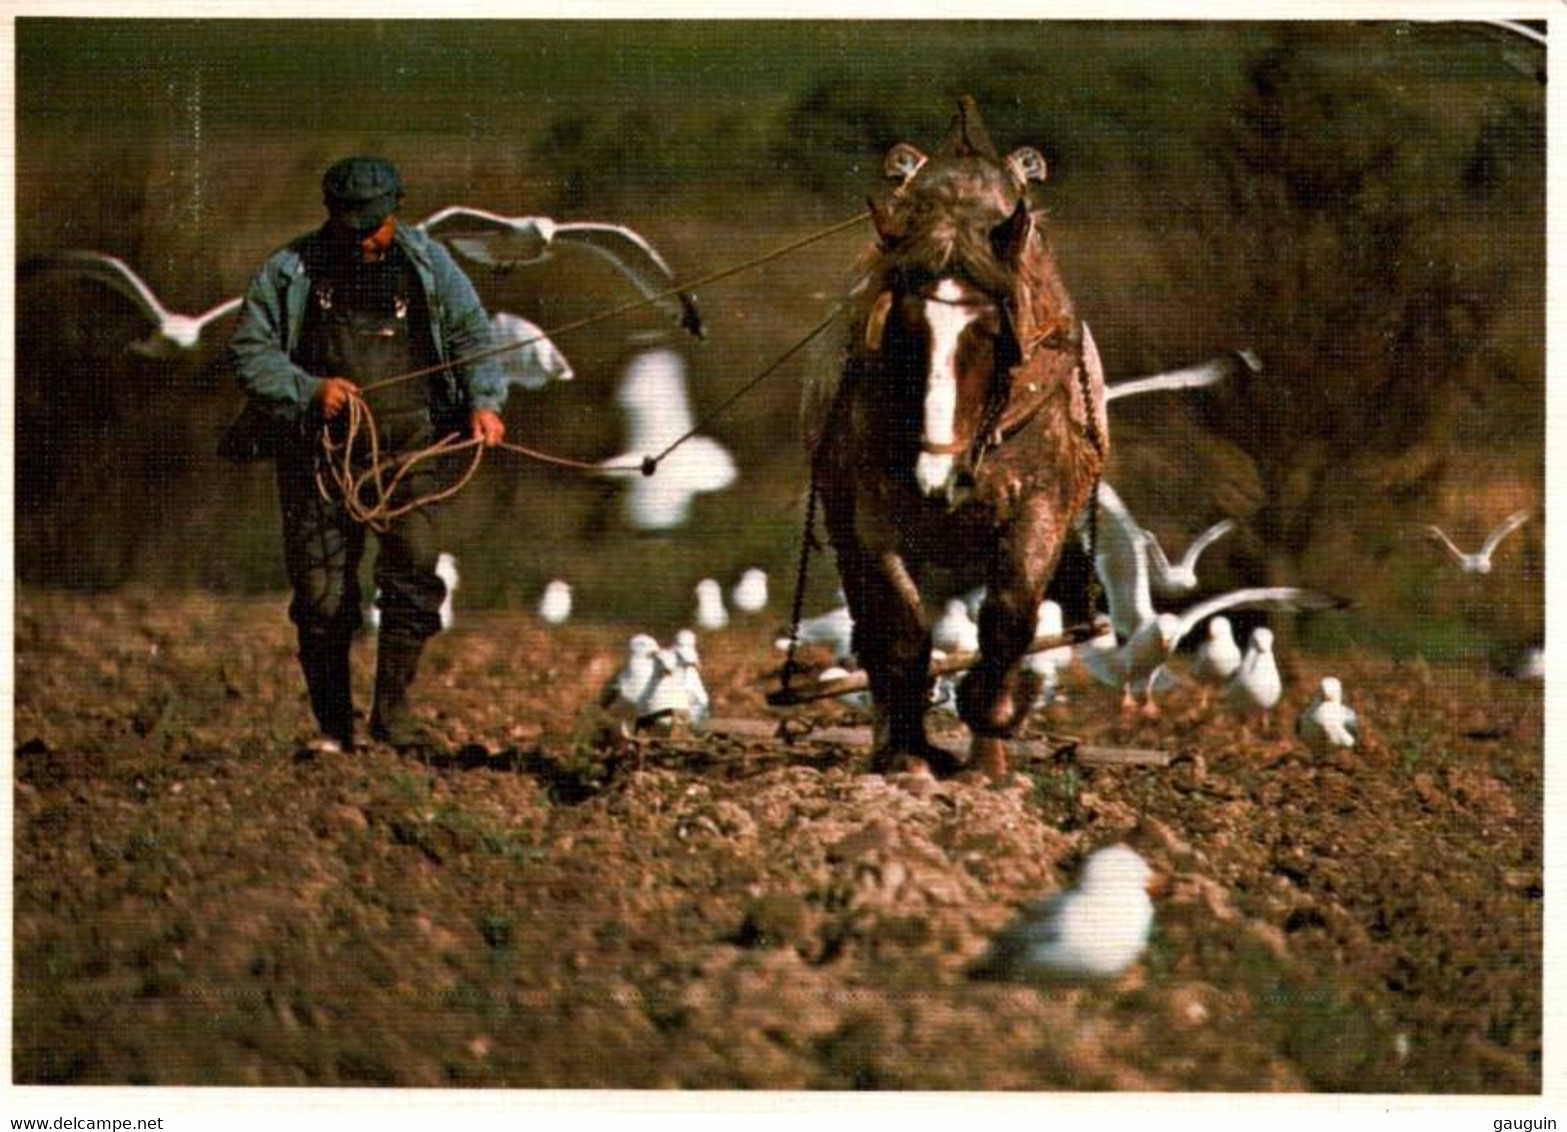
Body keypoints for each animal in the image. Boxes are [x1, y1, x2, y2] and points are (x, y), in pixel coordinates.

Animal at [802, 99, 1109, 777]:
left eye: (994, 339)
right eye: (902, 332)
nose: (936, 479)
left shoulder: (1040, 505)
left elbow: (1009, 617)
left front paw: (991, 724)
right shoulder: (874, 519)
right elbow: (900, 632)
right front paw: (908, 756)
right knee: (876, 629)